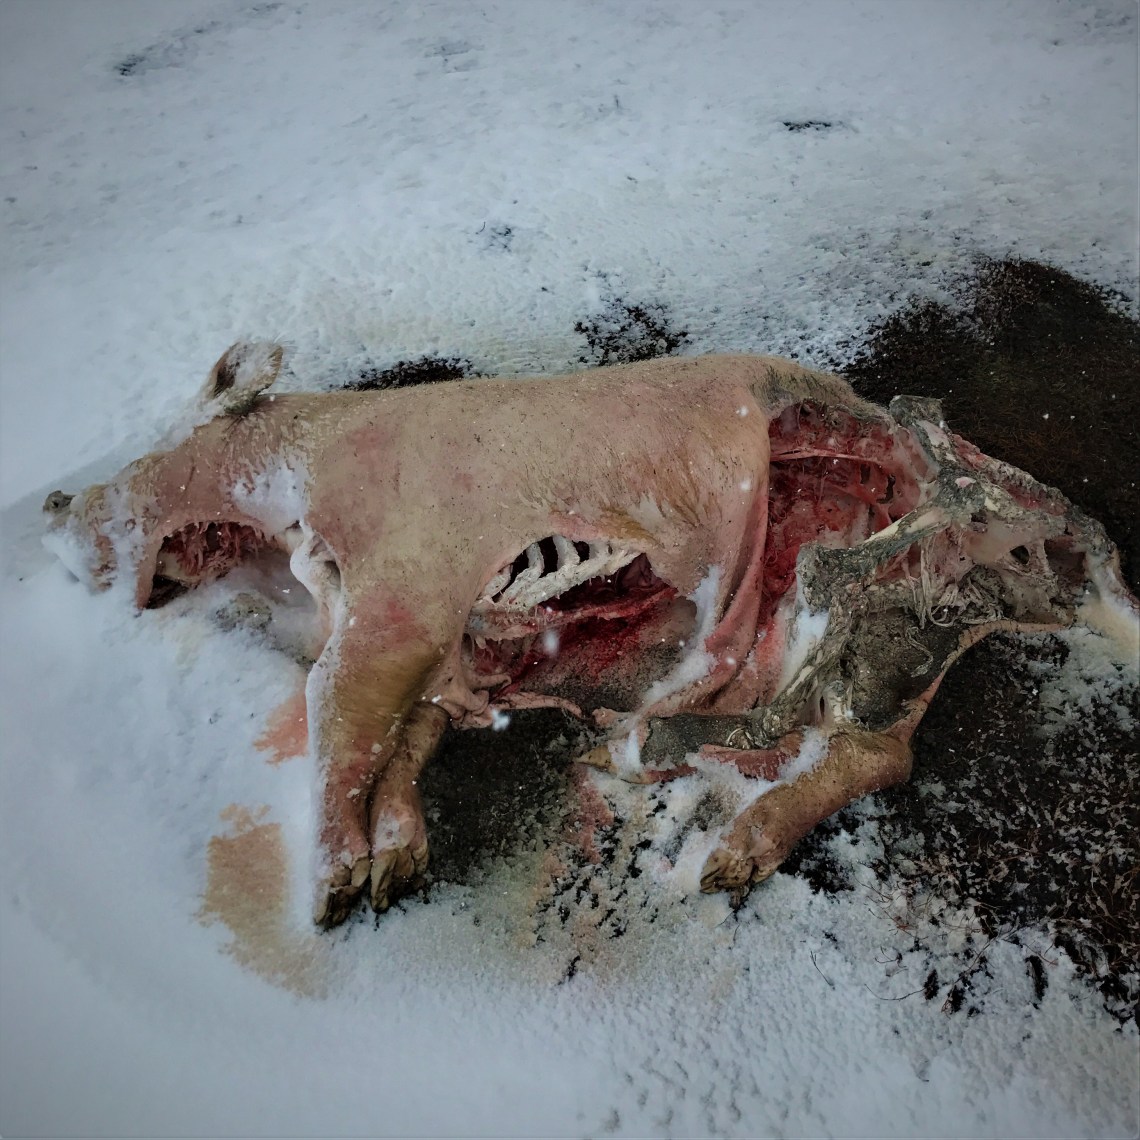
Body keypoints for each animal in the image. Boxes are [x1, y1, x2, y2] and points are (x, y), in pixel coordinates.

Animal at [43, 343, 1138, 926]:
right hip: (890, 636)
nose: (54, 501)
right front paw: (395, 870)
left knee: (863, 747)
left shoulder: (408, 587)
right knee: (871, 748)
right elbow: (400, 741)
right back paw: (707, 833)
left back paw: (698, 829)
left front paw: (331, 901)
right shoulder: (446, 660)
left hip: (885, 588)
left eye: (176, 429)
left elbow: (337, 716)